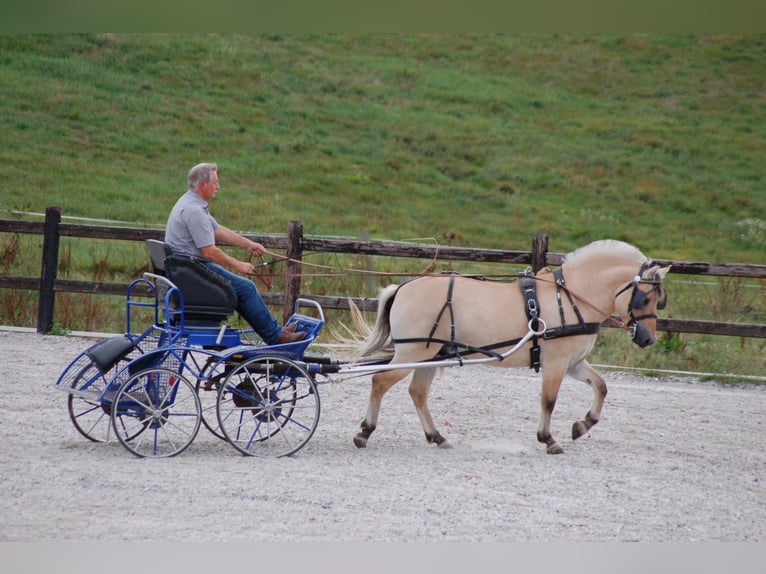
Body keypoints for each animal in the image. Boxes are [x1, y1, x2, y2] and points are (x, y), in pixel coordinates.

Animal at [352, 239, 670, 454]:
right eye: (645, 298)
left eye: (659, 300)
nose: (648, 339)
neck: (569, 298)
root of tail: (403, 287)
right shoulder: (556, 362)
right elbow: (549, 400)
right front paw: (548, 439)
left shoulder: (574, 363)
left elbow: (601, 387)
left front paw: (582, 425)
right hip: (414, 352)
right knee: (380, 382)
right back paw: (365, 432)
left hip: (431, 355)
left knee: (417, 392)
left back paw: (437, 437)